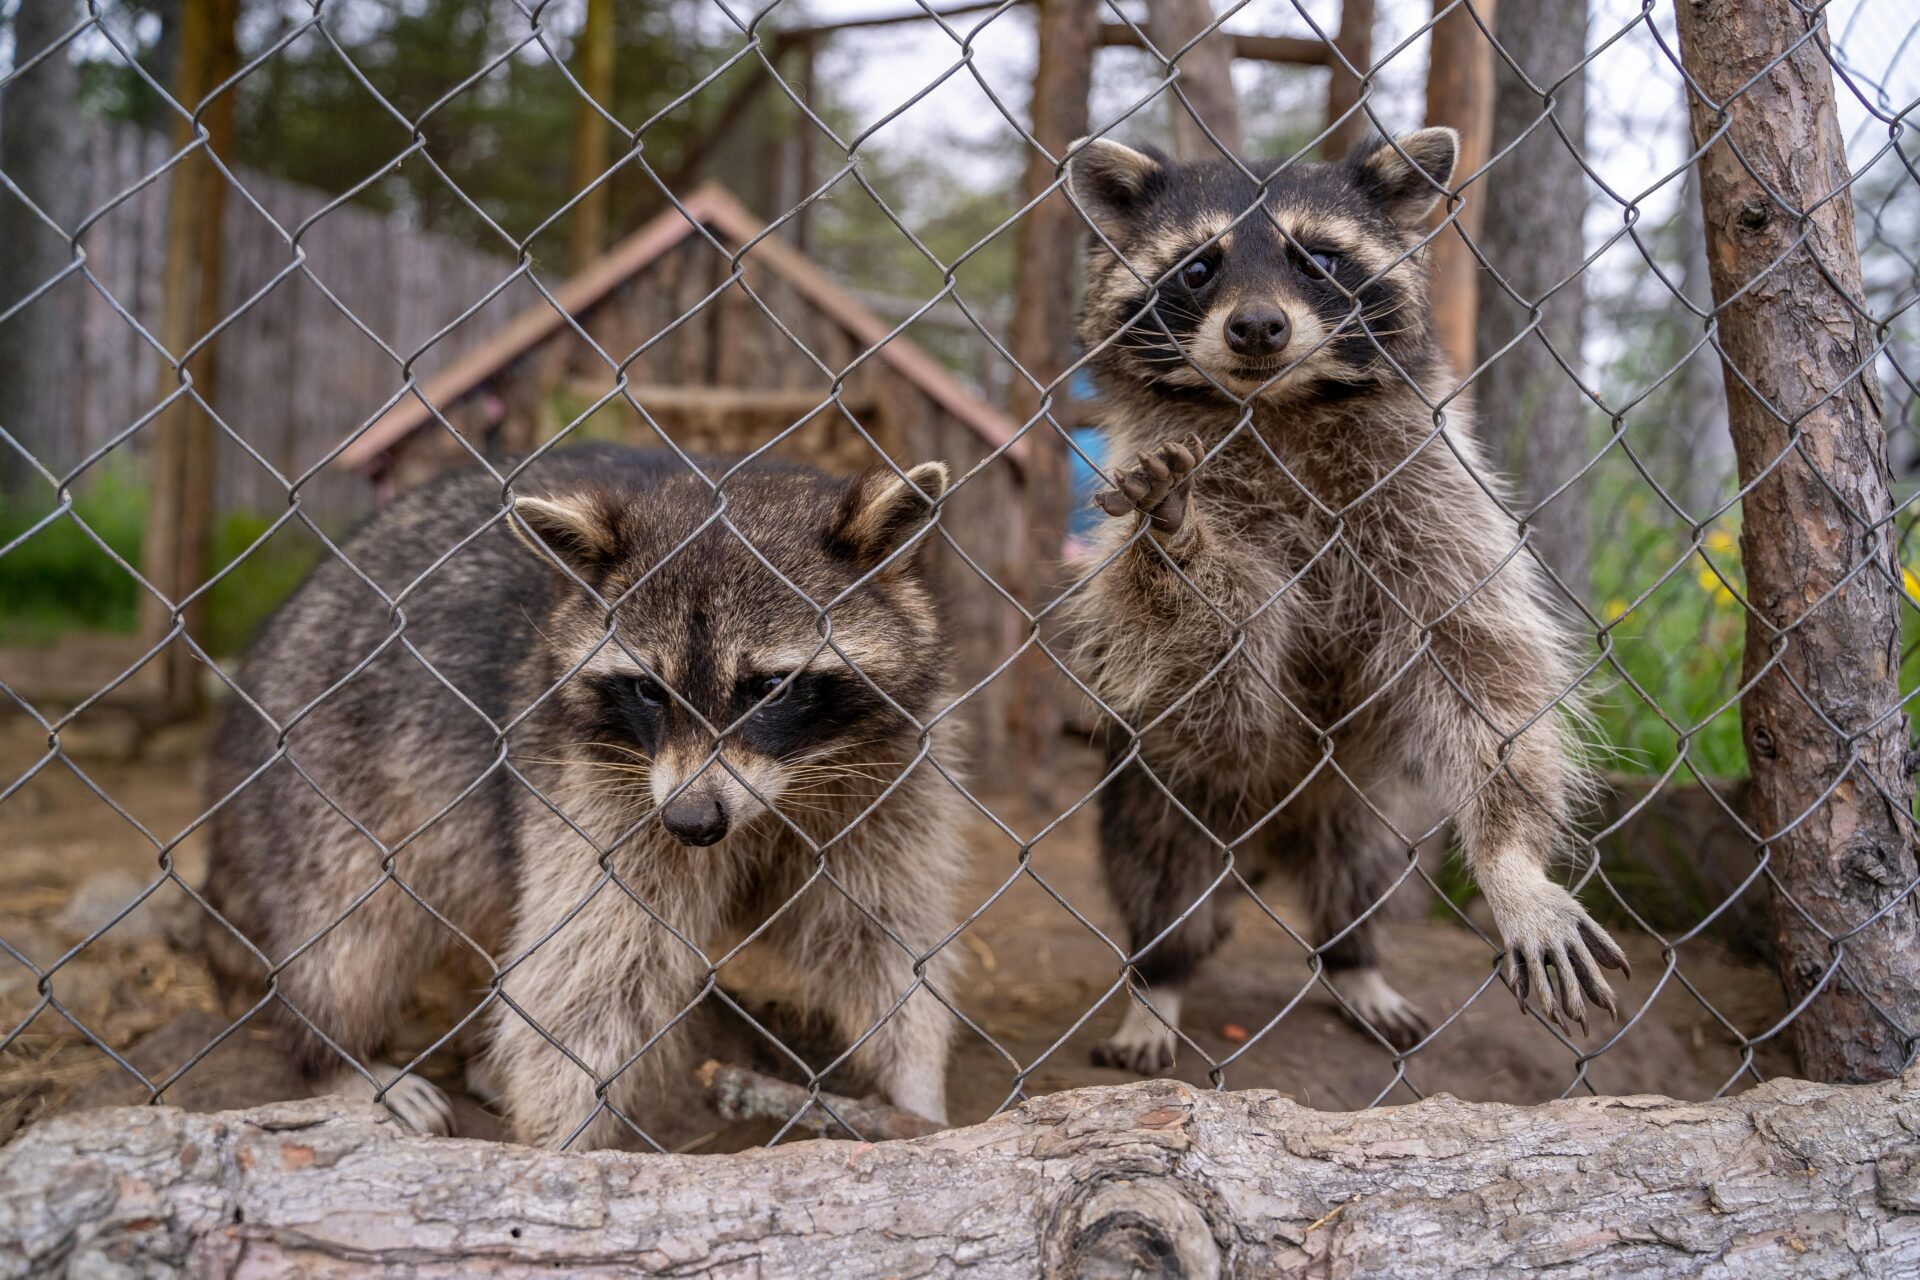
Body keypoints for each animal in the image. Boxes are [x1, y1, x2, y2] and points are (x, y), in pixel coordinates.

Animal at [202, 445, 967, 1143]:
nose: (690, 822)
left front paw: (917, 1091)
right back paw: (335, 1053)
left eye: (770, 687)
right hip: (325, 769)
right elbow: (587, 979)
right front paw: (562, 1145)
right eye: (648, 690)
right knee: (353, 929)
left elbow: (882, 938)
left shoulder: (887, 779)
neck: (777, 794)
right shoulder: (594, 789)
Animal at [1059, 130, 1628, 1074]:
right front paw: (1178, 541)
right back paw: (1157, 980)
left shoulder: (1434, 498)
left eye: (1318, 258)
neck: (1275, 407)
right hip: (1158, 789)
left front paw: (1513, 864)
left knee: (1366, 876)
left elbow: (1486, 664)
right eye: (1199, 268)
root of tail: (1272, 840)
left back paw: (1354, 959)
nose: (1258, 326)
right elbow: (1209, 672)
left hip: (1372, 804)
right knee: (1163, 877)